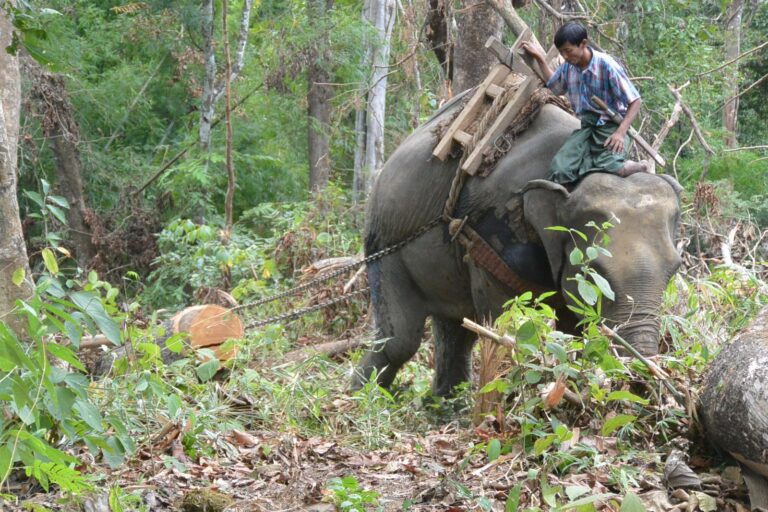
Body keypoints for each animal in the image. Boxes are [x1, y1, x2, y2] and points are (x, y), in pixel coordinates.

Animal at [353, 98, 682, 396]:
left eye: (674, 269)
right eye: (595, 272)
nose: (642, 382)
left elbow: (570, 328)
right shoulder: (488, 235)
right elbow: (503, 326)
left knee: (457, 329)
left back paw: (445, 404)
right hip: (385, 239)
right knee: (400, 340)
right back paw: (362, 397)